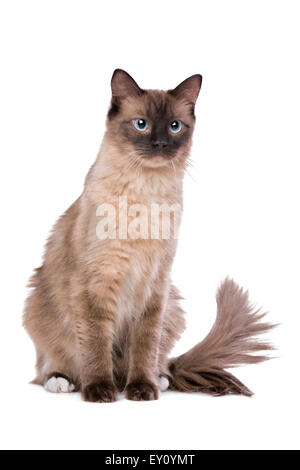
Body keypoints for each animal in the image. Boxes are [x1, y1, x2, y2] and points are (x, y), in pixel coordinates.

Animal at [23, 71, 274, 402]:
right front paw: (99, 391)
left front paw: (142, 388)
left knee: (158, 361)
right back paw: (64, 382)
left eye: (174, 126)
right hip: (36, 305)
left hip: (172, 306)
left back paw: (156, 379)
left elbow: (144, 345)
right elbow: (95, 345)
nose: (160, 143)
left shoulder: (155, 284)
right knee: (51, 365)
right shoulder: (95, 283)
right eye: (141, 124)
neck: (147, 193)